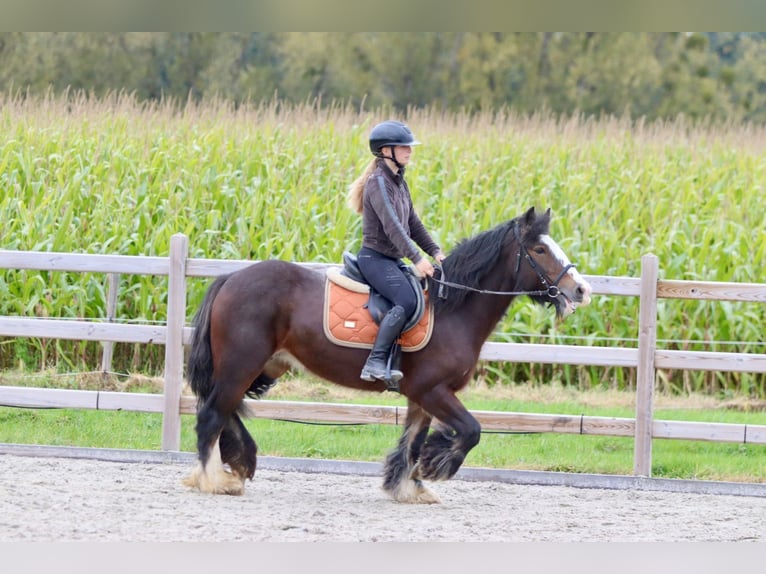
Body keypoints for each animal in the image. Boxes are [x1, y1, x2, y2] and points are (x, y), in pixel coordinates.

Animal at [183, 207, 592, 504]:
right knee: (212, 415)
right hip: (241, 365)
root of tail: (230, 280)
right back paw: (213, 479)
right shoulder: (433, 391)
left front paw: (410, 486)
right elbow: (470, 431)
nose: (582, 290)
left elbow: (412, 441)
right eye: (539, 249)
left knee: (226, 411)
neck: (451, 309)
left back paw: (237, 465)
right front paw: (435, 466)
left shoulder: (421, 396)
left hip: (260, 367)